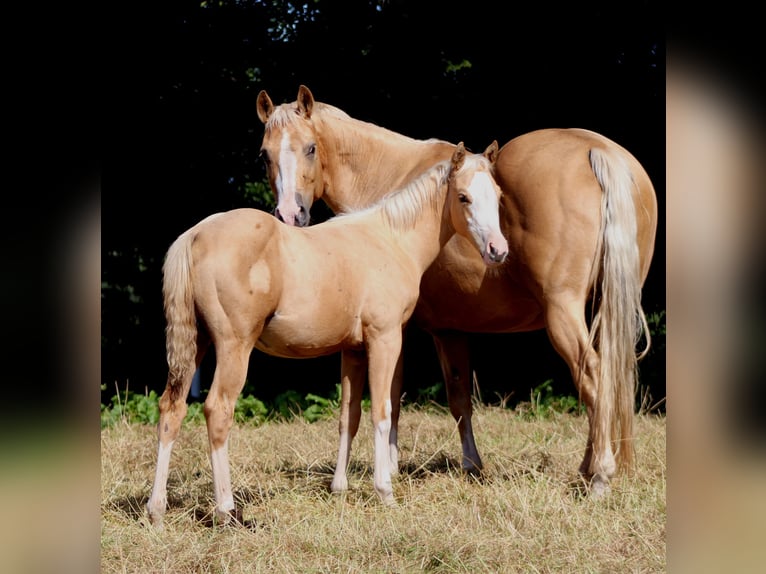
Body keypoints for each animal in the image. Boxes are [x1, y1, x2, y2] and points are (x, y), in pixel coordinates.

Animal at [145, 141, 508, 528]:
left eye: (498, 195)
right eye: (463, 196)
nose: (498, 250)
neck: (391, 239)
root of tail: (196, 234)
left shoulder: (353, 350)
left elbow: (349, 416)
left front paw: (339, 488)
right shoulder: (385, 339)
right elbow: (382, 411)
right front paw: (385, 491)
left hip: (196, 344)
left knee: (171, 409)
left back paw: (156, 509)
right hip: (234, 347)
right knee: (217, 410)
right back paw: (226, 509)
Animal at [256, 85, 658, 497]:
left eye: (310, 148)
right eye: (264, 153)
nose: (289, 215)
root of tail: (596, 149)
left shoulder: (399, 330)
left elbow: (394, 396)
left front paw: (392, 468)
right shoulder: (449, 330)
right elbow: (459, 398)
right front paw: (470, 465)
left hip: (563, 312)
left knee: (592, 374)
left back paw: (600, 475)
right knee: (608, 377)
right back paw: (590, 467)